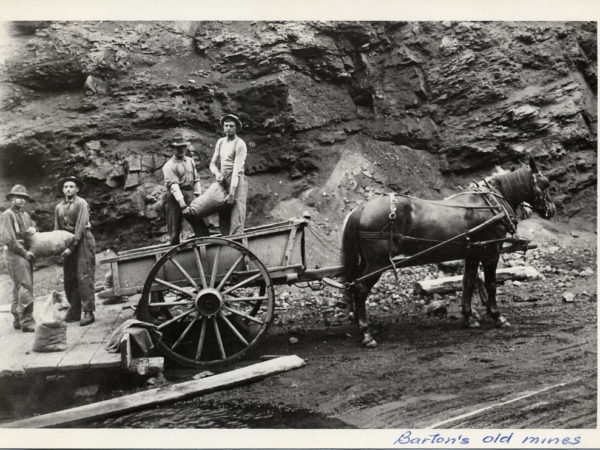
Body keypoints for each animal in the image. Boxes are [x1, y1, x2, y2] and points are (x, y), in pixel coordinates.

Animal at [340, 158, 556, 348]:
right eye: (545, 184)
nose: (551, 210)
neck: (491, 203)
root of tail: (360, 209)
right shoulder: (491, 252)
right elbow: (491, 284)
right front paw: (498, 316)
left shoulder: (472, 253)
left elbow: (468, 283)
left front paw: (469, 318)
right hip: (377, 262)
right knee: (360, 288)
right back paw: (367, 334)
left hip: (364, 262)